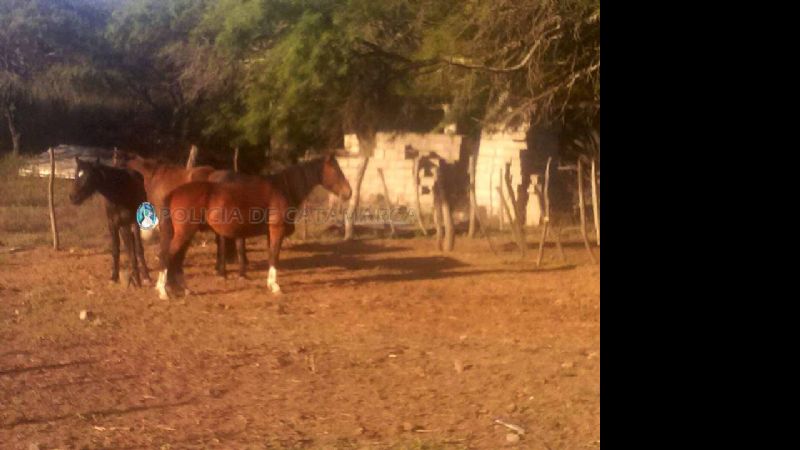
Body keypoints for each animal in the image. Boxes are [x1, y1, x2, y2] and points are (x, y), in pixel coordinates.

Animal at [69, 157, 152, 286]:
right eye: (76, 175)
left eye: (88, 177)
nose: (73, 197)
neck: (118, 192)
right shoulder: (112, 224)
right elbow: (116, 250)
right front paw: (114, 277)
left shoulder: (129, 222)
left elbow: (135, 250)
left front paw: (140, 279)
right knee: (129, 246)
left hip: (132, 224)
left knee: (136, 247)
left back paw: (143, 275)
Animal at [154, 154, 352, 300]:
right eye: (335, 170)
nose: (348, 193)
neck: (282, 188)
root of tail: (175, 192)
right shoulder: (276, 230)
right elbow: (274, 256)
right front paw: (275, 287)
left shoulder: (270, 233)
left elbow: (272, 256)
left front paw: (270, 284)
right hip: (184, 233)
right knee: (167, 256)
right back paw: (163, 291)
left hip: (186, 234)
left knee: (177, 260)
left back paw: (184, 290)